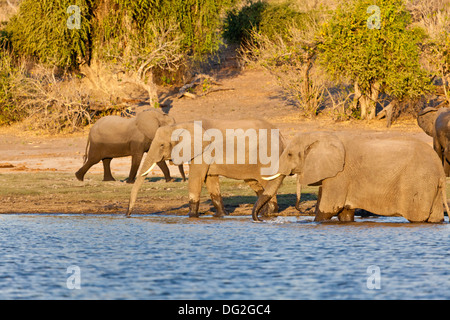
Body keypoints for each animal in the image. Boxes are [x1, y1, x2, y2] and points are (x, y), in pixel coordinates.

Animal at [126, 119, 284, 219]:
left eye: (162, 145)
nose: (128, 214)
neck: (181, 125)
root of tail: (281, 135)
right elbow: (210, 181)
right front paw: (220, 216)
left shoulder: (203, 152)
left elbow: (196, 179)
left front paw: (191, 216)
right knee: (256, 184)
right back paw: (264, 213)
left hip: (268, 156)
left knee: (267, 182)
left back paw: (269, 214)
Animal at [253, 131, 450, 224]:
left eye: (289, 154)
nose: (260, 219)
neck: (325, 135)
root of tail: (440, 173)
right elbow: (344, 213)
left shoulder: (340, 175)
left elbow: (327, 210)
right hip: (431, 186)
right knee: (434, 218)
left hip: (418, 183)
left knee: (417, 217)